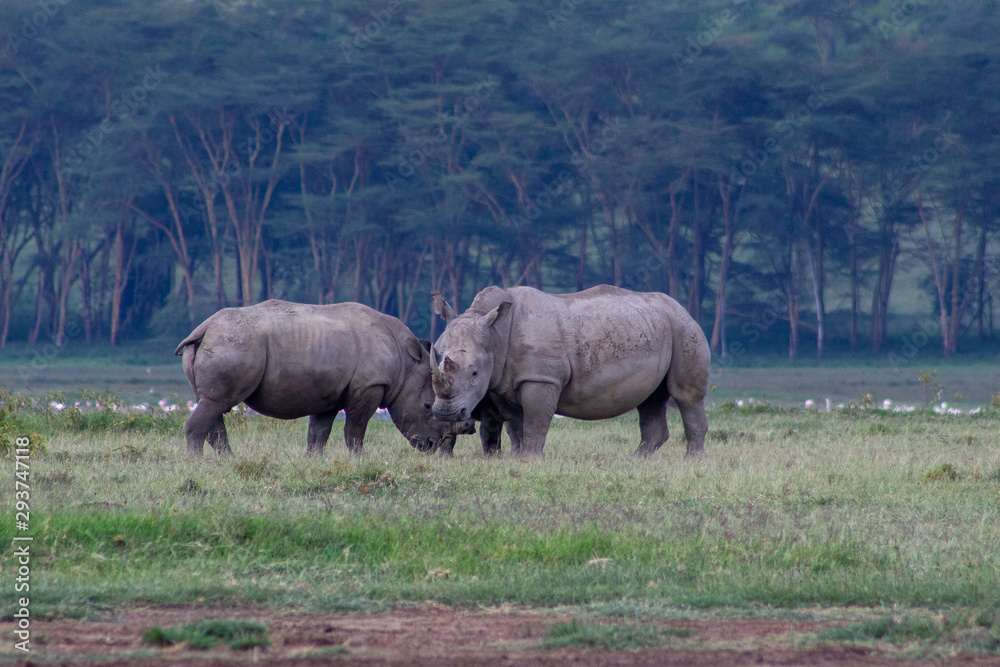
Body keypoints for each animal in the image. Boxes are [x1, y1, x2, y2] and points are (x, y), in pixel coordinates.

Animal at [175, 299, 473, 456]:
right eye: (427, 407)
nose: (431, 446)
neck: (405, 362)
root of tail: (203, 328)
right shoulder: (369, 385)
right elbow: (355, 428)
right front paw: (359, 460)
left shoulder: (329, 395)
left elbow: (318, 433)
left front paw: (313, 461)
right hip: (234, 345)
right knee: (217, 403)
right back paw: (199, 463)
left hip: (226, 343)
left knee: (213, 404)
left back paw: (226, 460)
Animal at [430, 285, 709, 458]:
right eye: (437, 357)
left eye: (474, 373)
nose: (445, 413)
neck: (496, 334)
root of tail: (682, 307)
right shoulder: (504, 381)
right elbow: (516, 424)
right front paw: (518, 457)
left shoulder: (541, 379)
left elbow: (535, 421)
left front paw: (532, 459)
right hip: (655, 326)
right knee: (650, 400)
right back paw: (637, 461)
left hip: (683, 328)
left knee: (685, 396)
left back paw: (691, 460)